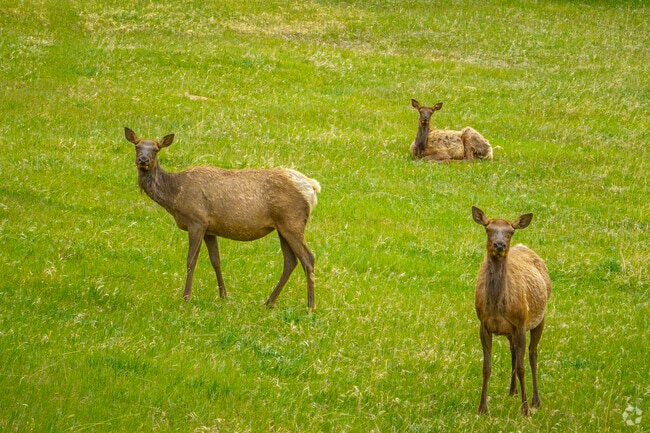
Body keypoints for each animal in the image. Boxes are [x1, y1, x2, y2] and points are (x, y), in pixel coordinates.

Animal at [124, 127, 321, 310]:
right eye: (137, 146)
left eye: (156, 149)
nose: (143, 160)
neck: (174, 195)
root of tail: (312, 187)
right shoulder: (210, 229)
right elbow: (216, 261)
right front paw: (223, 295)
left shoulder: (196, 221)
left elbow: (191, 260)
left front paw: (186, 297)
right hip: (282, 226)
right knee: (290, 261)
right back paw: (269, 302)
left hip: (292, 222)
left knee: (308, 258)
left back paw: (310, 306)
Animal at [472, 206, 551, 416]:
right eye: (488, 229)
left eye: (511, 231)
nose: (499, 245)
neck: (497, 306)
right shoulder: (484, 325)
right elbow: (486, 367)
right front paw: (482, 407)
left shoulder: (521, 324)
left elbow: (522, 367)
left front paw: (526, 409)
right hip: (510, 331)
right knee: (514, 351)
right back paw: (512, 391)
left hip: (540, 318)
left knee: (532, 354)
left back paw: (536, 400)